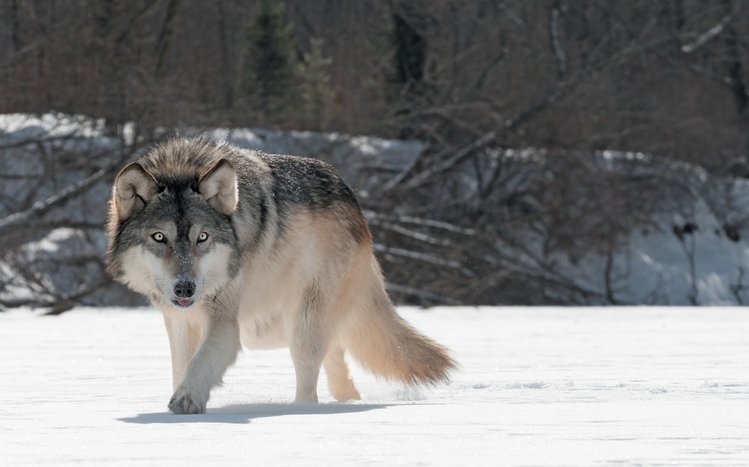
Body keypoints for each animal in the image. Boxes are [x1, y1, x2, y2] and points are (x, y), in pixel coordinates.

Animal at [106, 138, 455, 414]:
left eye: (202, 237)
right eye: (159, 237)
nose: (185, 288)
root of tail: (356, 206)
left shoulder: (225, 322)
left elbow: (200, 362)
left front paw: (187, 399)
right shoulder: (179, 322)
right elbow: (182, 366)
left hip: (300, 325)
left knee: (310, 388)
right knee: (337, 363)